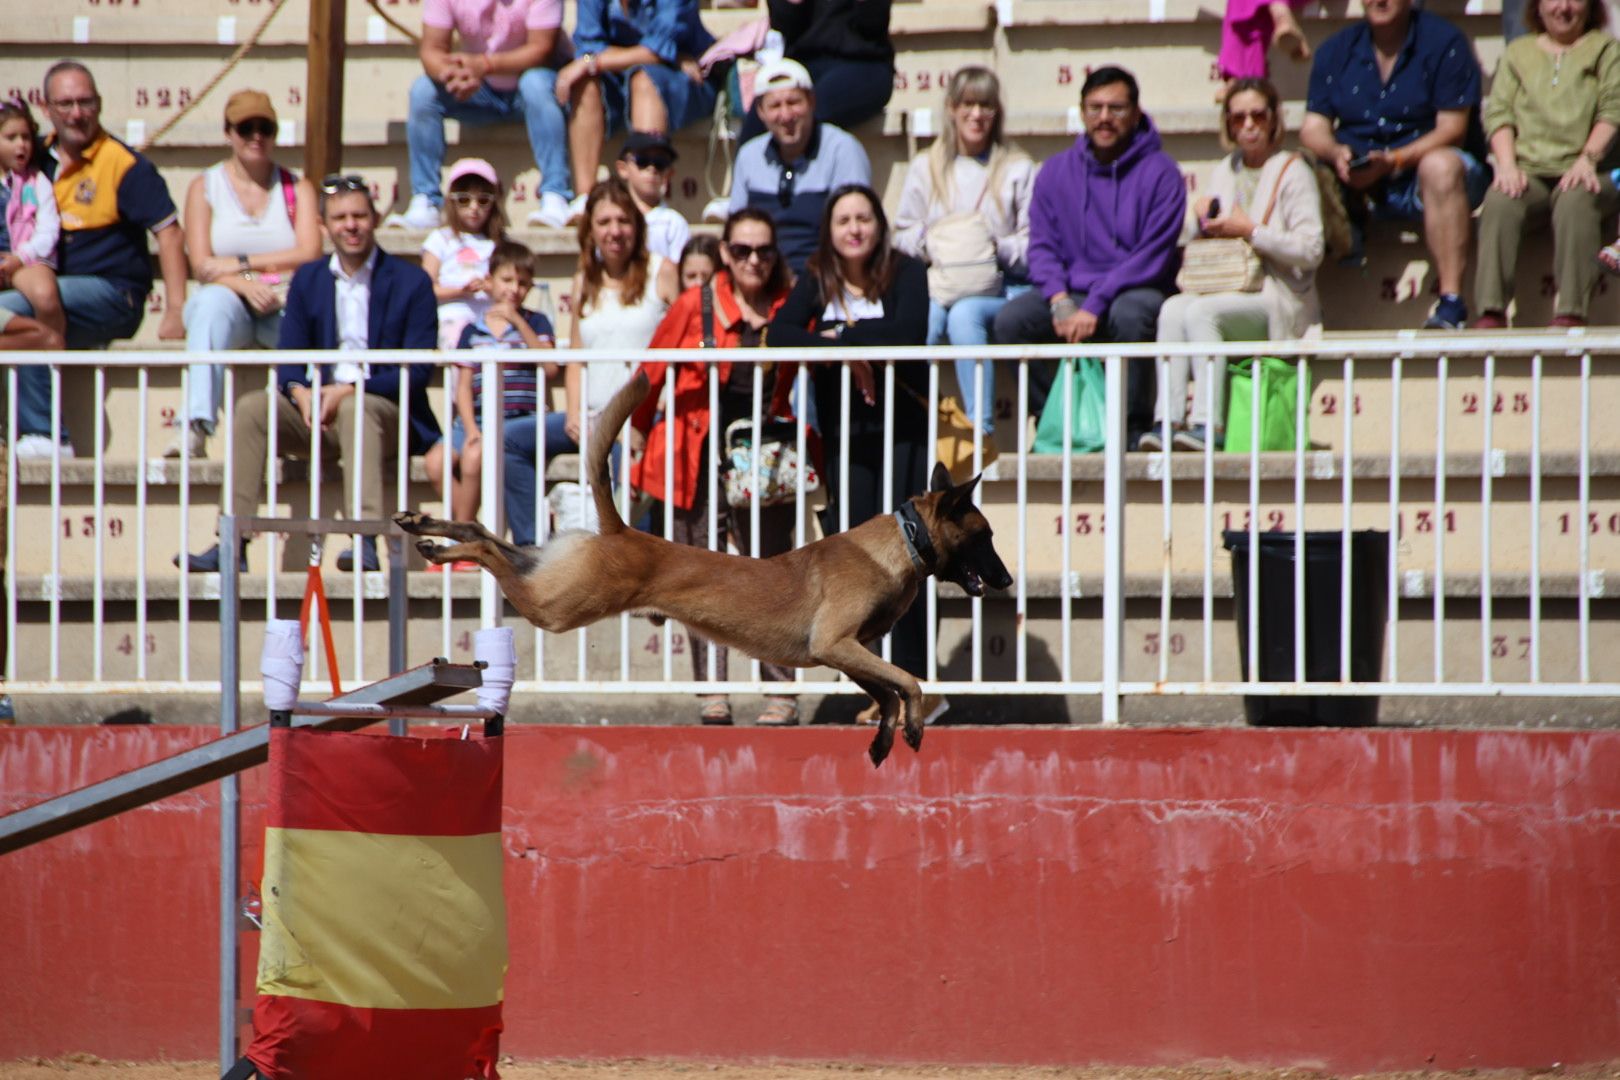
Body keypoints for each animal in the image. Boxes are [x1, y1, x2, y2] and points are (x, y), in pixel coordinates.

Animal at [395, 374, 1010, 767]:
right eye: (985, 536)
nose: (1005, 581)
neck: (902, 541)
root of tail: (621, 530)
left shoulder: (847, 651)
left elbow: (888, 691)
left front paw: (885, 739)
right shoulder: (837, 644)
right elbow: (909, 681)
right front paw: (913, 727)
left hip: (555, 581)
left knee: (490, 536)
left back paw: (426, 526)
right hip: (558, 607)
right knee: (495, 558)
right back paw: (439, 549)